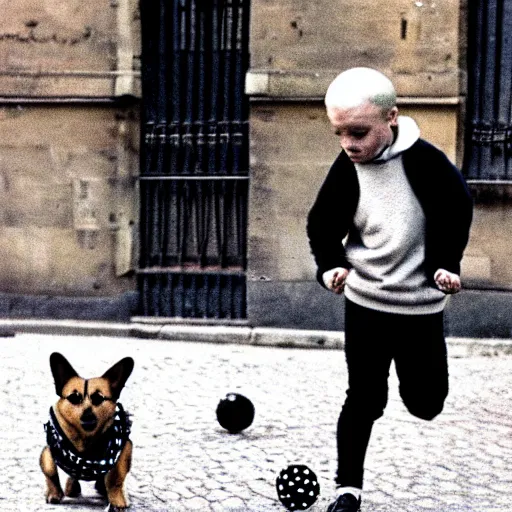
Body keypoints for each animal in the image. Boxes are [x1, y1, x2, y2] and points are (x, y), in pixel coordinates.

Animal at [40, 354, 134, 510]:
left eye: (98, 398)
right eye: (74, 398)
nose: (87, 415)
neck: (85, 439)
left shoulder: (125, 449)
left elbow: (116, 477)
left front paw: (116, 500)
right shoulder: (49, 450)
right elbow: (50, 472)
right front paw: (54, 493)